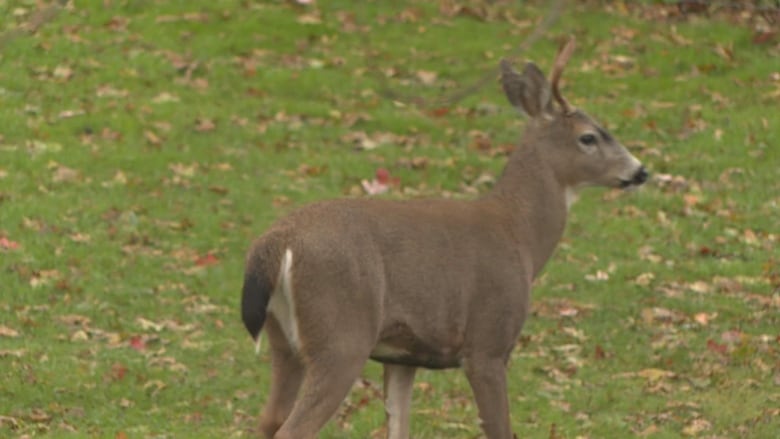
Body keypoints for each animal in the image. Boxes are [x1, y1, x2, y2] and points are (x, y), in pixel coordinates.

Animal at [241, 38, 648, 439]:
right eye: (588, 137)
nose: (640, 171)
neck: (520, 235)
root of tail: (275, 244)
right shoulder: (488, 342)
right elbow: (500, 429)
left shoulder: (402, 355)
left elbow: (399, 427)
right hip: (341, 334)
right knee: (291, 428)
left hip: (284, 341)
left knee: (267, 421)